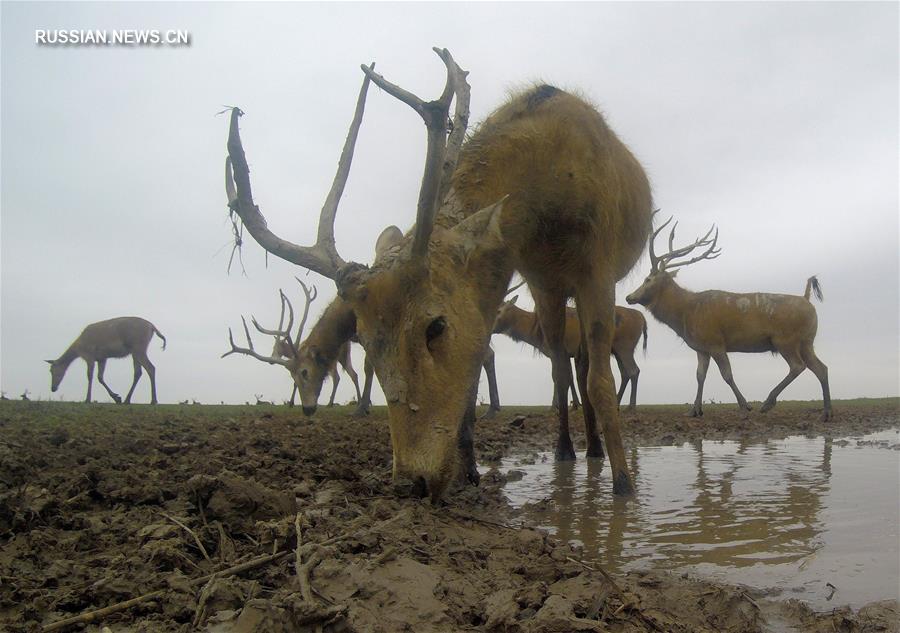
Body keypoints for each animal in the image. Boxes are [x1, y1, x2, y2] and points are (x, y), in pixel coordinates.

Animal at [496, 298, 652, 412]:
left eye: (498, 311)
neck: (535, 331)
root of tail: (643, 319)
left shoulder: (557, 353)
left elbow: (557, 377)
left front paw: (554, 406)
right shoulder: (568, 354)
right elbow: (569, 377)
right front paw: (576, 404)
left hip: (625, 347)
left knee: (633, 371)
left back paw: (631, 406)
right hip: (617, 351)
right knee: (625, 373)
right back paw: (618, 402)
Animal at [624, 215, 828, 422]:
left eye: (648, 279)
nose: (629, 297)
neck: (686, 314)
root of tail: (807, 299)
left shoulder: (715, 342)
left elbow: (727, 375)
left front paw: (744, 406)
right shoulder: (701, 348)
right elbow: (700, 376)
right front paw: (694, 410)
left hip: (785, 339)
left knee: (798, 366)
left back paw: (767, 403)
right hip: (806, 341)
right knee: (821, 368)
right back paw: (827, 413)